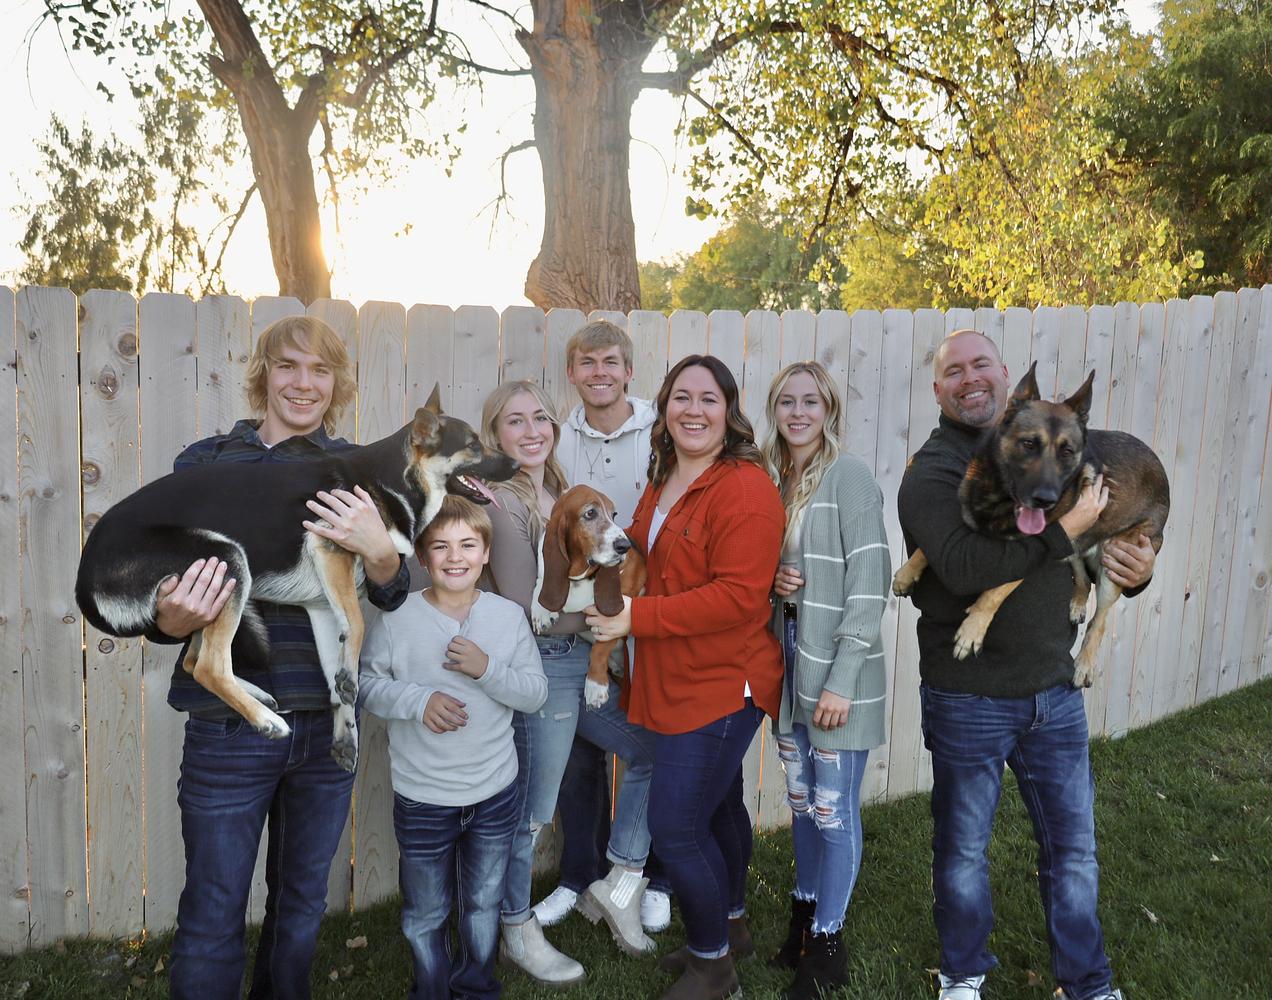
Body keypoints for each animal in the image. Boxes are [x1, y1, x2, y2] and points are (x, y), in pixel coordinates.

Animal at [75, 387, 516, 770]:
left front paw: (345, 730)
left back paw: (257, 697)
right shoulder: (332, 553)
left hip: (212, 591)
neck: (394, 478)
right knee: (208, 667)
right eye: (474, 445)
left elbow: (337, 668)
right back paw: (264, 720)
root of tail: (84, 571)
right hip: (226, 560)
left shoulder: (321, 605)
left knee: (192, 659)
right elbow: (358, 625)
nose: (514, 463)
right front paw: (347, 691)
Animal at [531, 485, 646, 709]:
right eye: (590, 513)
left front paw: (595, 685)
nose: (624, 546)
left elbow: (600, 649)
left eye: (614, 514)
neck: (579, 574)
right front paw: (542, 610)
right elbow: (543, 581)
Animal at [892, 363, 1169, 687]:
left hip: (1113, 559)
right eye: (1028, 444)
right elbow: (930, 548)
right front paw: (907, 572)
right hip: (1074, 543)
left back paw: (1083, 665)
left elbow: (995, 590)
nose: (1045, 499)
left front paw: (973, 629)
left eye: (1067, 451)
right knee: (1083, 577)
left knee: (1099, 620)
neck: (999, 495)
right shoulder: (968, 518)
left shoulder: (1033, 550)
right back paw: (1077, 603)